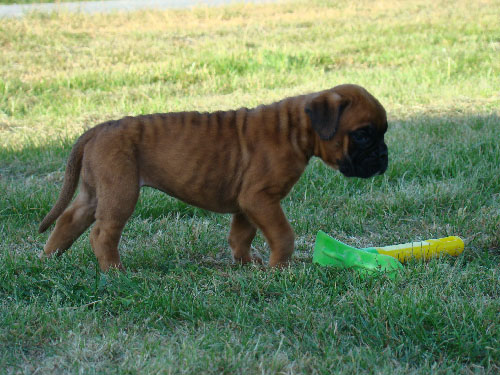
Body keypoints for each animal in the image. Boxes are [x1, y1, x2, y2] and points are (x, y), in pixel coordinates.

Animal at [39, 84, 388, 272]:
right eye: (362, 135)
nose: (384, 157)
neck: (296, 129)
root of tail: (99, 128)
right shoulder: (260, 199)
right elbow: (283, 235)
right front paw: (279, 268)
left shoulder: (249, 203)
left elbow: (241, 235)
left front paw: (247, 263)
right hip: (120, 192)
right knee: (102, 233)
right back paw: (114, 270)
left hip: (93, 191)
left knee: (70, 219)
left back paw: (49, 258)